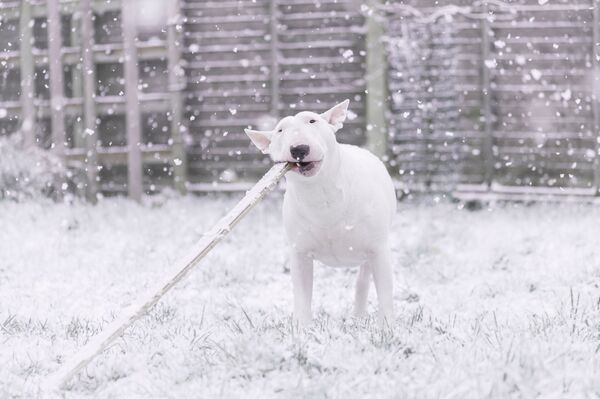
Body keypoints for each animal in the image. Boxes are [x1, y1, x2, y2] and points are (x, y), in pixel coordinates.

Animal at [246, 100, 396, 324]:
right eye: (280, 130)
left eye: (312, 120)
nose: (299, 149)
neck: (321, 195)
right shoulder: (299, 253)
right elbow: (302, 295)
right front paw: (302, 328)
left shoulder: (379, 248)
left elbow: (385, 294)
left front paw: (388, 328)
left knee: (363, 279)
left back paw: (359, 316)